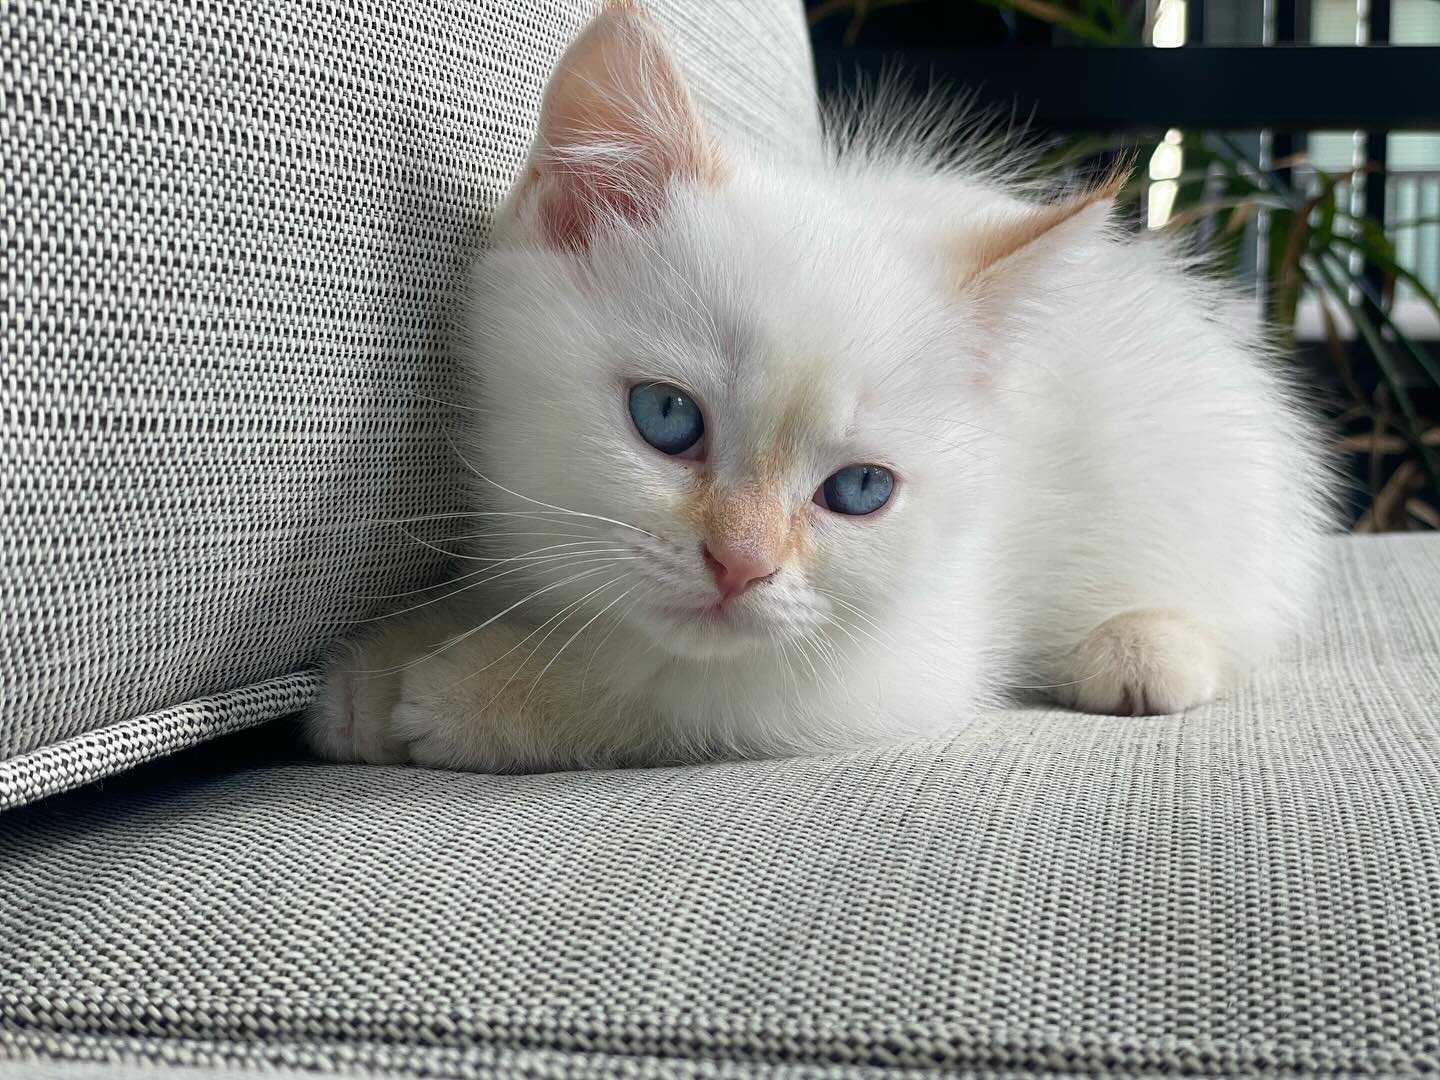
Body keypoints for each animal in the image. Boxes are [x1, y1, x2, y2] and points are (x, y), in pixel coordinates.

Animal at [303, 4, 1324, 771]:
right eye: (666, 417)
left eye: (860, 490)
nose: (741, 565)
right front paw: (382, 668)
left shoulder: (908, 652)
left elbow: (693, 684)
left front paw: (481, 691)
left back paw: (1146, 647)